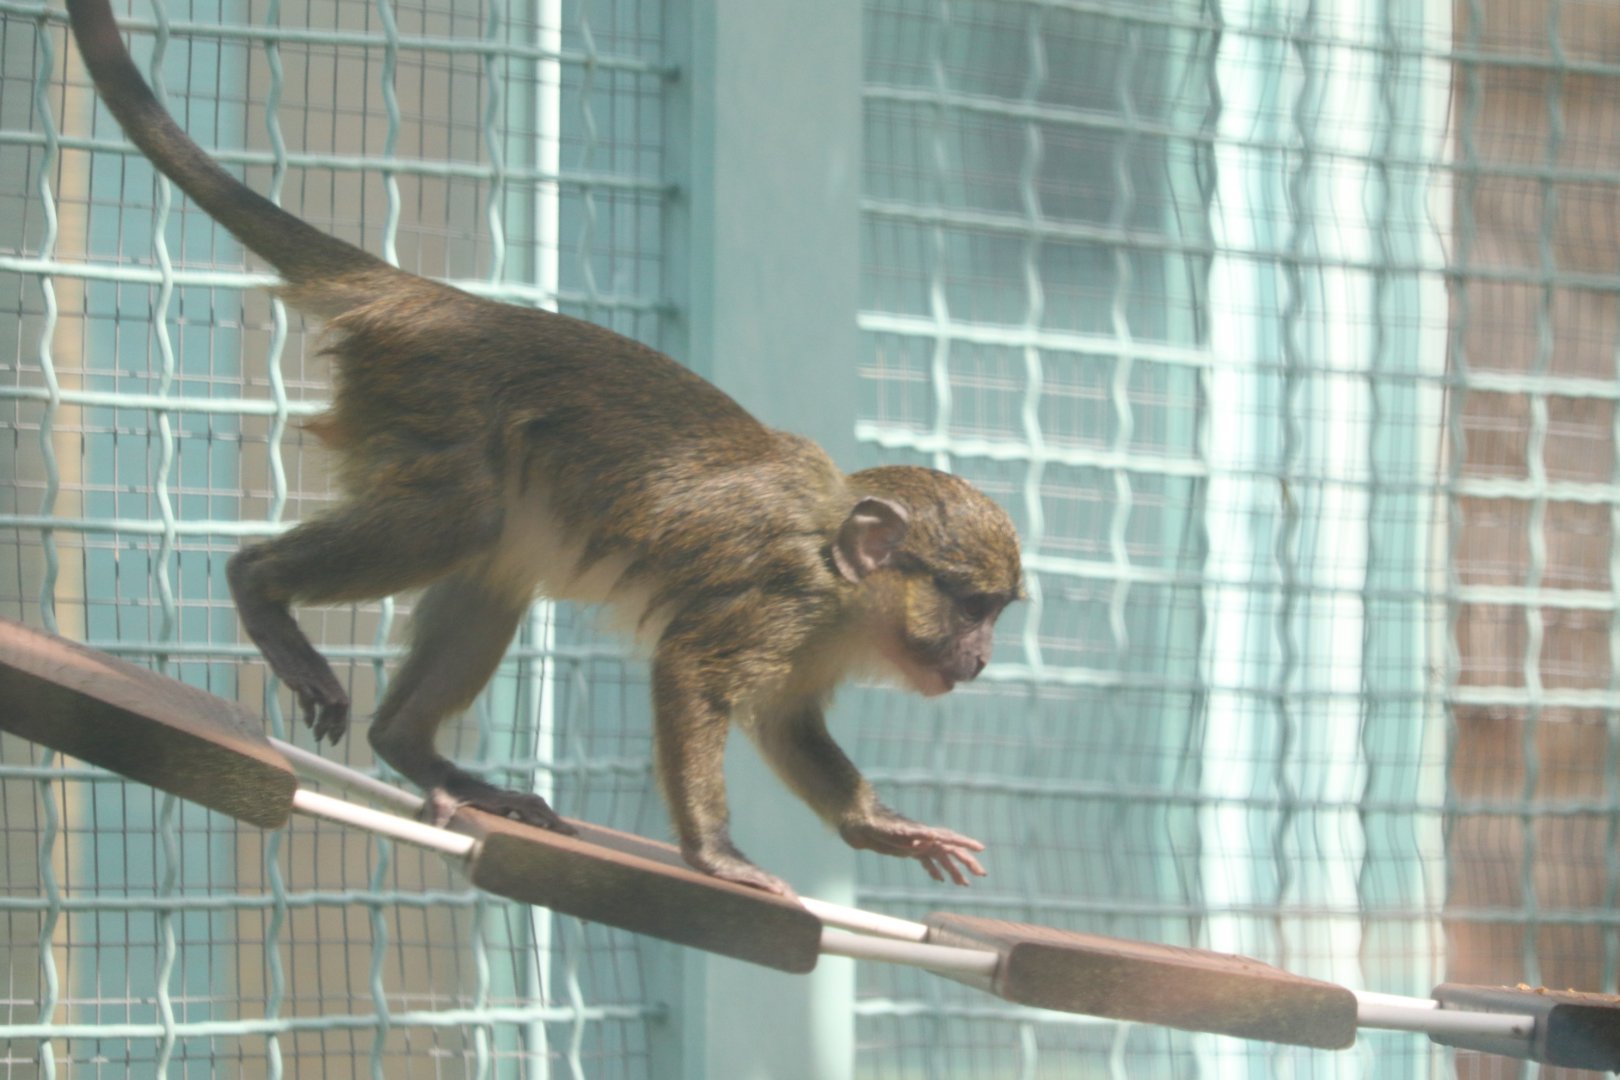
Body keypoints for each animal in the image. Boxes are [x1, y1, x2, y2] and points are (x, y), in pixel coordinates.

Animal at [65, 0, 1022, 895]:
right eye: (973, 607)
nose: (980, 659)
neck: (838, 564)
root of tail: (443, 303)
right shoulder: (779, 598)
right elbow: (691, 674)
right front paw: (715, 855)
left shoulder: (810, 644)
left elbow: (787, 727)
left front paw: (884, 827)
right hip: (435, 405)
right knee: (461, 519)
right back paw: (260, 586)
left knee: (495, 565)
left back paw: (414, 749)